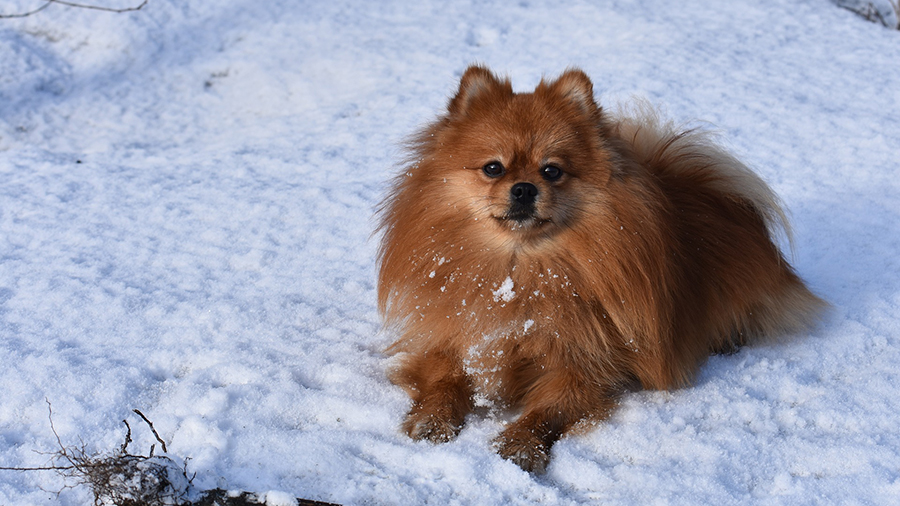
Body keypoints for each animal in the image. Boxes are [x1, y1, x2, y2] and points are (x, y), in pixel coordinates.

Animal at [376, 65, 828, 472]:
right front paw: (434, 416)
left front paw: (521, 443)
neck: (519, 272)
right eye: (493, 168)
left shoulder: (586, 364)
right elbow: (444, 378)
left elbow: (548, 410)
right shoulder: (455, 336)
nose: (524, 189)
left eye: (551, 170)